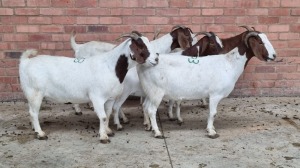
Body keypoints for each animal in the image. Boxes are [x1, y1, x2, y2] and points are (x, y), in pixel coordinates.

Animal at [18, 31, 159, 143]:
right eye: (140, 45)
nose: (156, 59)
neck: (110, 66)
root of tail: (25, 62)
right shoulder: (97, 97)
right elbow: (102, 116)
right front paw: (103, 137)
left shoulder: (110, 98)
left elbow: (107, 114)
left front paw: (108, 131)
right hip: (35, 93)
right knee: (34, 112)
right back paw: (40, 134)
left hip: (31, 94)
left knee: (31, 111)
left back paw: (34, 128)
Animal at [138, 26, 276, 139]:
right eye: (260, 42)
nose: (274, 56)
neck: (229, 63)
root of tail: (144, 65)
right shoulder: (215, 94)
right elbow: (213, 113)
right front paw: (211, 131)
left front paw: (211, 128)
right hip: (157, 92)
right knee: (151, 110)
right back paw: (157, 132)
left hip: (150, 92)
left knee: (145, 106)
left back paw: (149, 127)